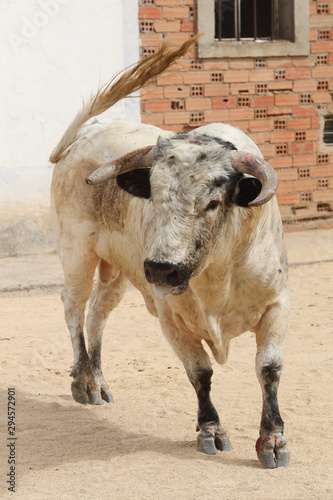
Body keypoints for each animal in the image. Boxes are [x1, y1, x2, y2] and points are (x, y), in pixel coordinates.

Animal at [49, 38, 288, 468]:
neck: (218, 273)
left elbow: (269, 369)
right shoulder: (170, 317)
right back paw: (83, 382)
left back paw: (99, 381)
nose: (162, 270)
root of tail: (87, 134)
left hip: (118, 270)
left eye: (213, 201)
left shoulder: (277, 304)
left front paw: (273, 440)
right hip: (77, 253)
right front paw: (211, 431)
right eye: (155, 197)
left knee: (97, 313)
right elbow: (200, 372)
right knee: (73, 307)